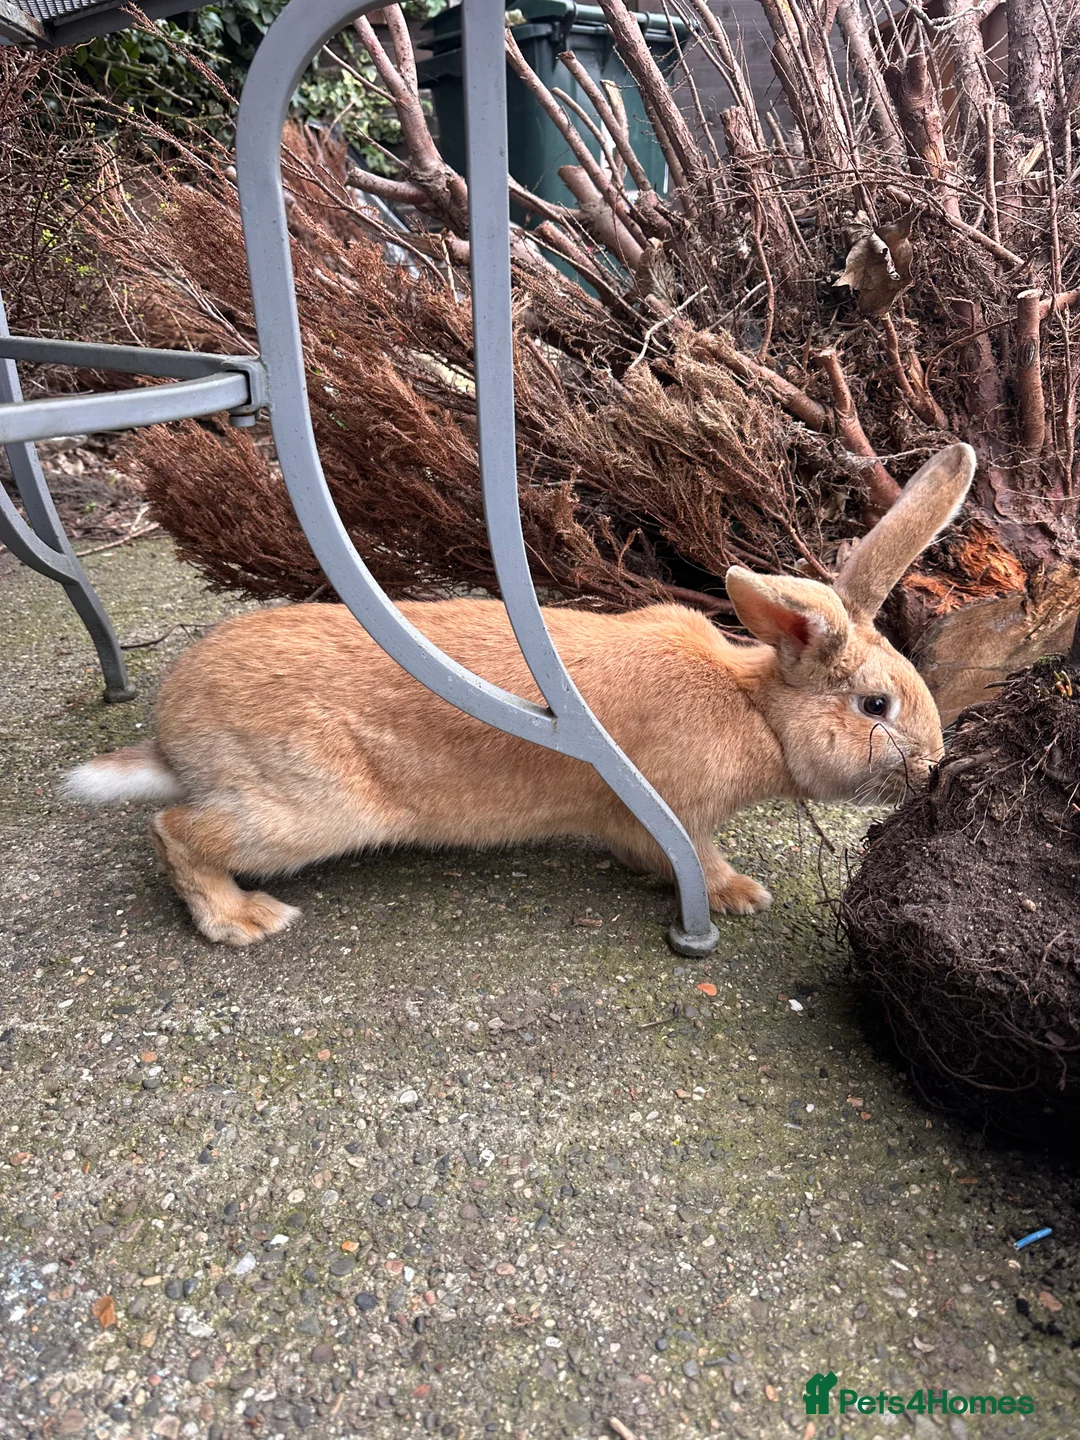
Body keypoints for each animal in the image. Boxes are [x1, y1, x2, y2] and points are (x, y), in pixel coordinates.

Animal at [63, 443, 975, 947]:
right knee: (175, 831)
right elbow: (694, 863)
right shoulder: (668, 815)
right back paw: (242, 919)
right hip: (308, 810)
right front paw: (743, 896)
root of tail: (171, 734)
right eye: (877, 708)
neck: (755, 707)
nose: (935, 766)